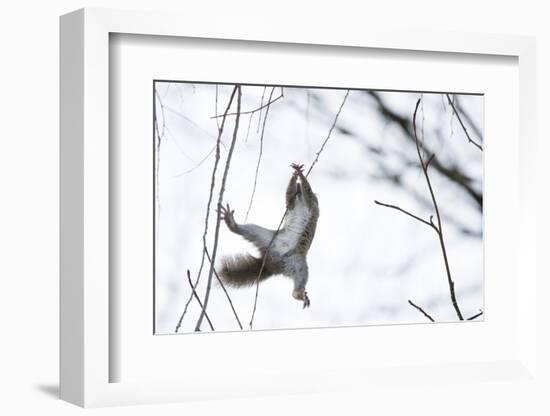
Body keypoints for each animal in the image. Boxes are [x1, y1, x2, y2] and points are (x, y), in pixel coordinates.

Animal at [219, 162, 320, 308]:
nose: (297, 186)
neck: (300, 200)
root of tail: (269, 264)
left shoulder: (311, 202)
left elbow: (308, 191)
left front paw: (299, 174)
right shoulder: (292, 203)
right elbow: (288, 197)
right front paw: (294, 176)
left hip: (298, 264)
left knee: (300, 278)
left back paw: (298, 294)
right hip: (263, 237)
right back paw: (232, 223)